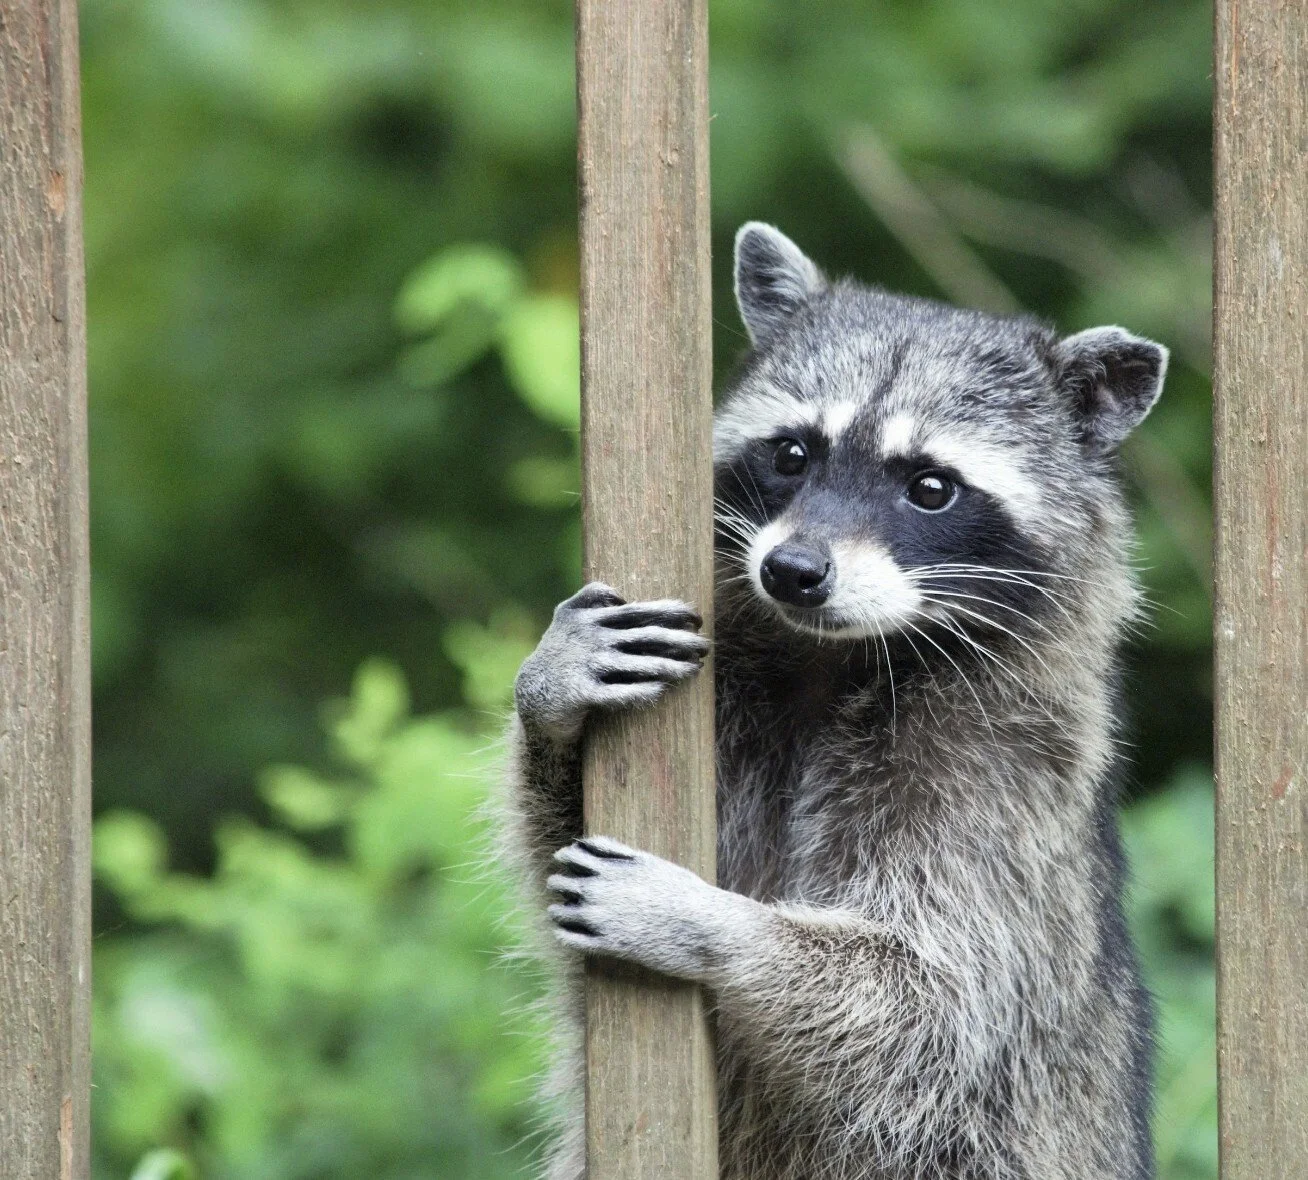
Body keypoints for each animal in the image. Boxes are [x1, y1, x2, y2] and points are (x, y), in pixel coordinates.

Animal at [506, 222, 1167, 1179]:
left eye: (930, 486)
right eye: (793, 454)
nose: (793, 570)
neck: (833, 655)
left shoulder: (1003, 780)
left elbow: (931, 1001)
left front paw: (712, 924)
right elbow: (547, 852)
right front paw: (550, 697)